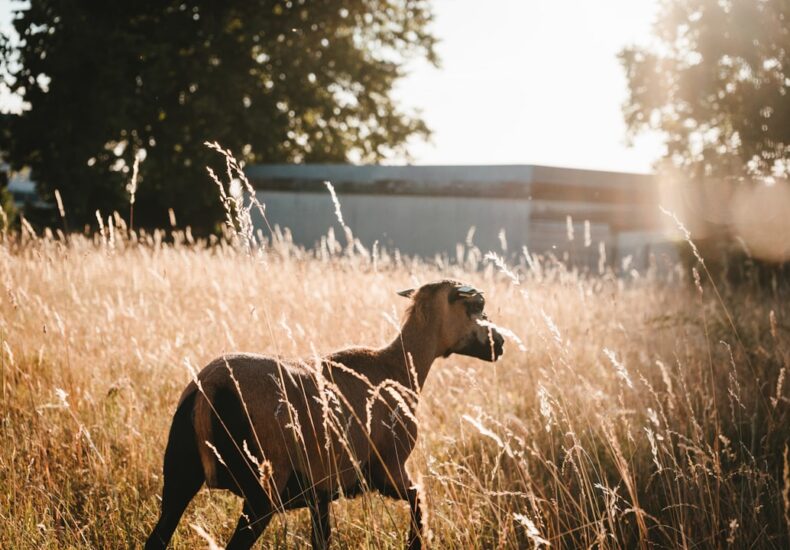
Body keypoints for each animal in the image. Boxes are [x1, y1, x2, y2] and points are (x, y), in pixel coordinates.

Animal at [145, 280, 505, 549]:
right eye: (477, 307)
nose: (499, 343)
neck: (399, 368)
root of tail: (209, 389)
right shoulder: (386, 468)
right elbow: (419, 499)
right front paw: (414, 544)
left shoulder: (320, 490)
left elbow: (323, 539)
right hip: (261, 489)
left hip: (180, 473)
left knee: (157, 538)